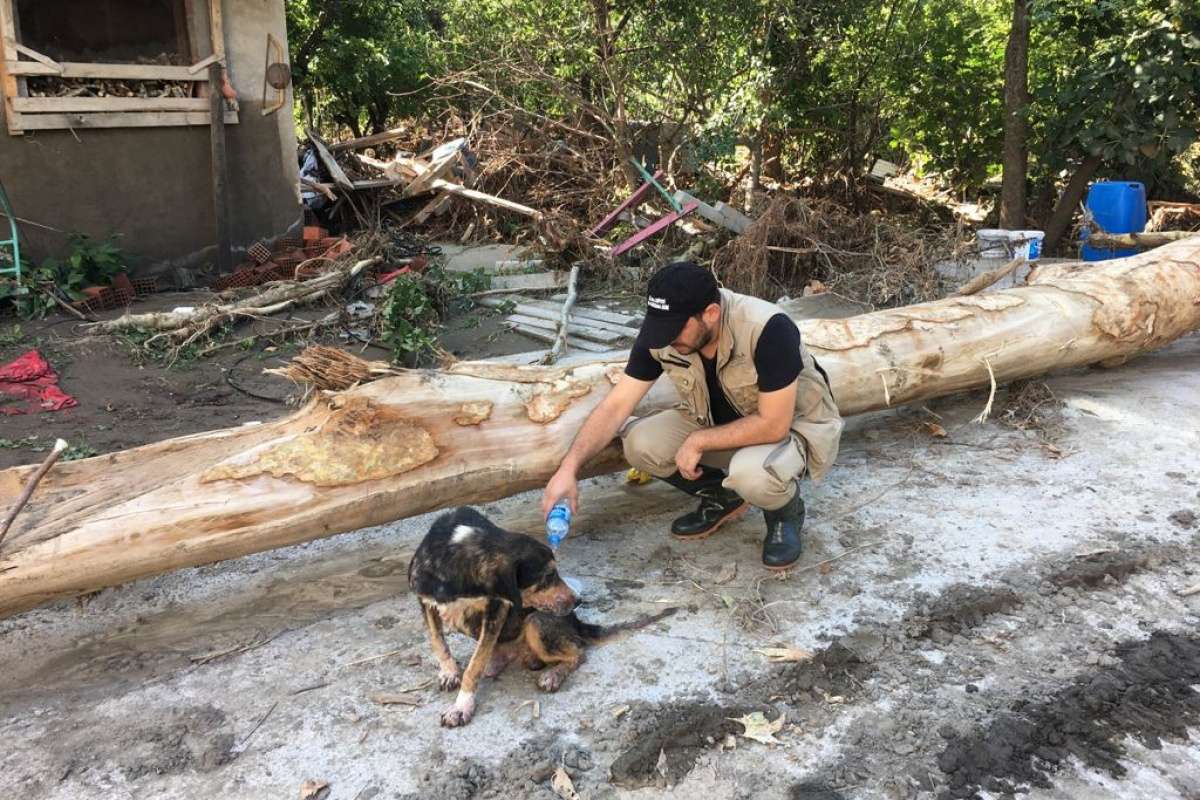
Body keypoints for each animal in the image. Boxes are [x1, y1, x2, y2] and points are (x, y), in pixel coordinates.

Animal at [410, 510, 676, 729]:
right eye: (548, 576)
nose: (577, 601)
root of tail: (576, 623)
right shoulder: (425, 600)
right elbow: (438, 641)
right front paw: (449, 672)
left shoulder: (497, 607)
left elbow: (474, 666)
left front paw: (461, 706)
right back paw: (500, 662)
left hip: (537, 621)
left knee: (578, 652)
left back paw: (553, 675)